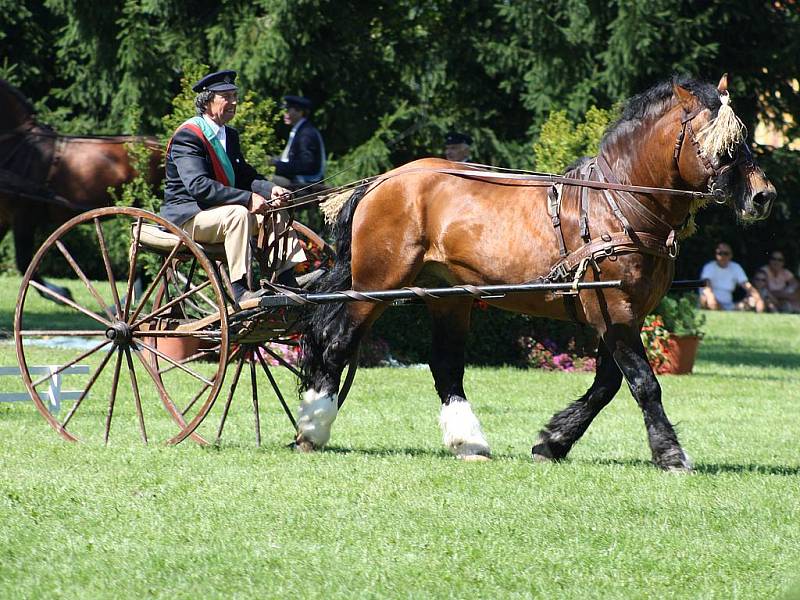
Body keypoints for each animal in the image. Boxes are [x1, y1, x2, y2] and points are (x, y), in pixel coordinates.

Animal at [298, 75, 776, 472]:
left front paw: (553, 441)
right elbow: (643, 383)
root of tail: (382, 181)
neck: (619, 206)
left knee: (446, 365)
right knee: (338, 343)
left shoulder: (625, 315)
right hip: (374, 287)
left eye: (744, 138)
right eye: (720, 142)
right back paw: (313, 427)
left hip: (448, 296)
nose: (763, 197)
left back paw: (468, 442)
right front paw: (670, 454)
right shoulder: (614, 312)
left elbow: (607, 385)